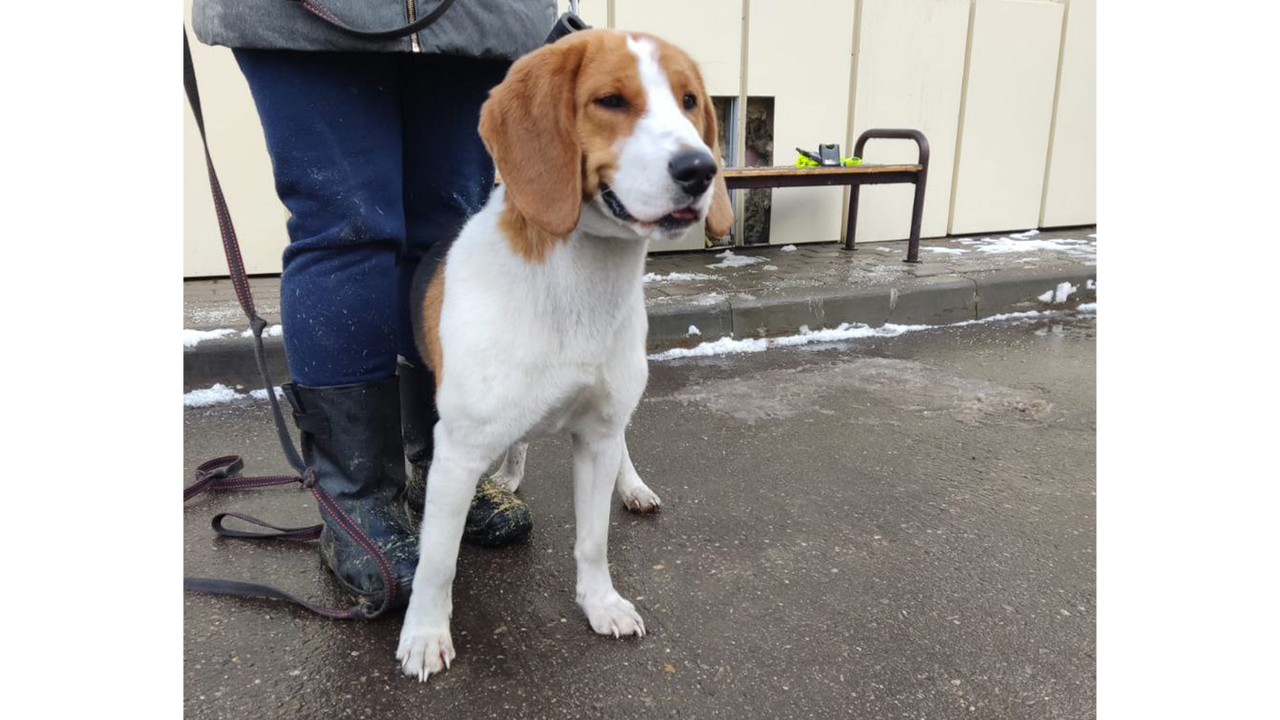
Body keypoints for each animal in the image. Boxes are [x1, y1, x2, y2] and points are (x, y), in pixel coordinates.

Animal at [394, 29, 737, 676]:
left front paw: (600, 603)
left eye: (689, 102)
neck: (579, 278)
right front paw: (425, 634)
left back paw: (632, 487)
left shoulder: (599, 434)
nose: (700, 169)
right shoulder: (457, 452)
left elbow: (593, 539)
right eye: (611, 100)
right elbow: (437, 561)